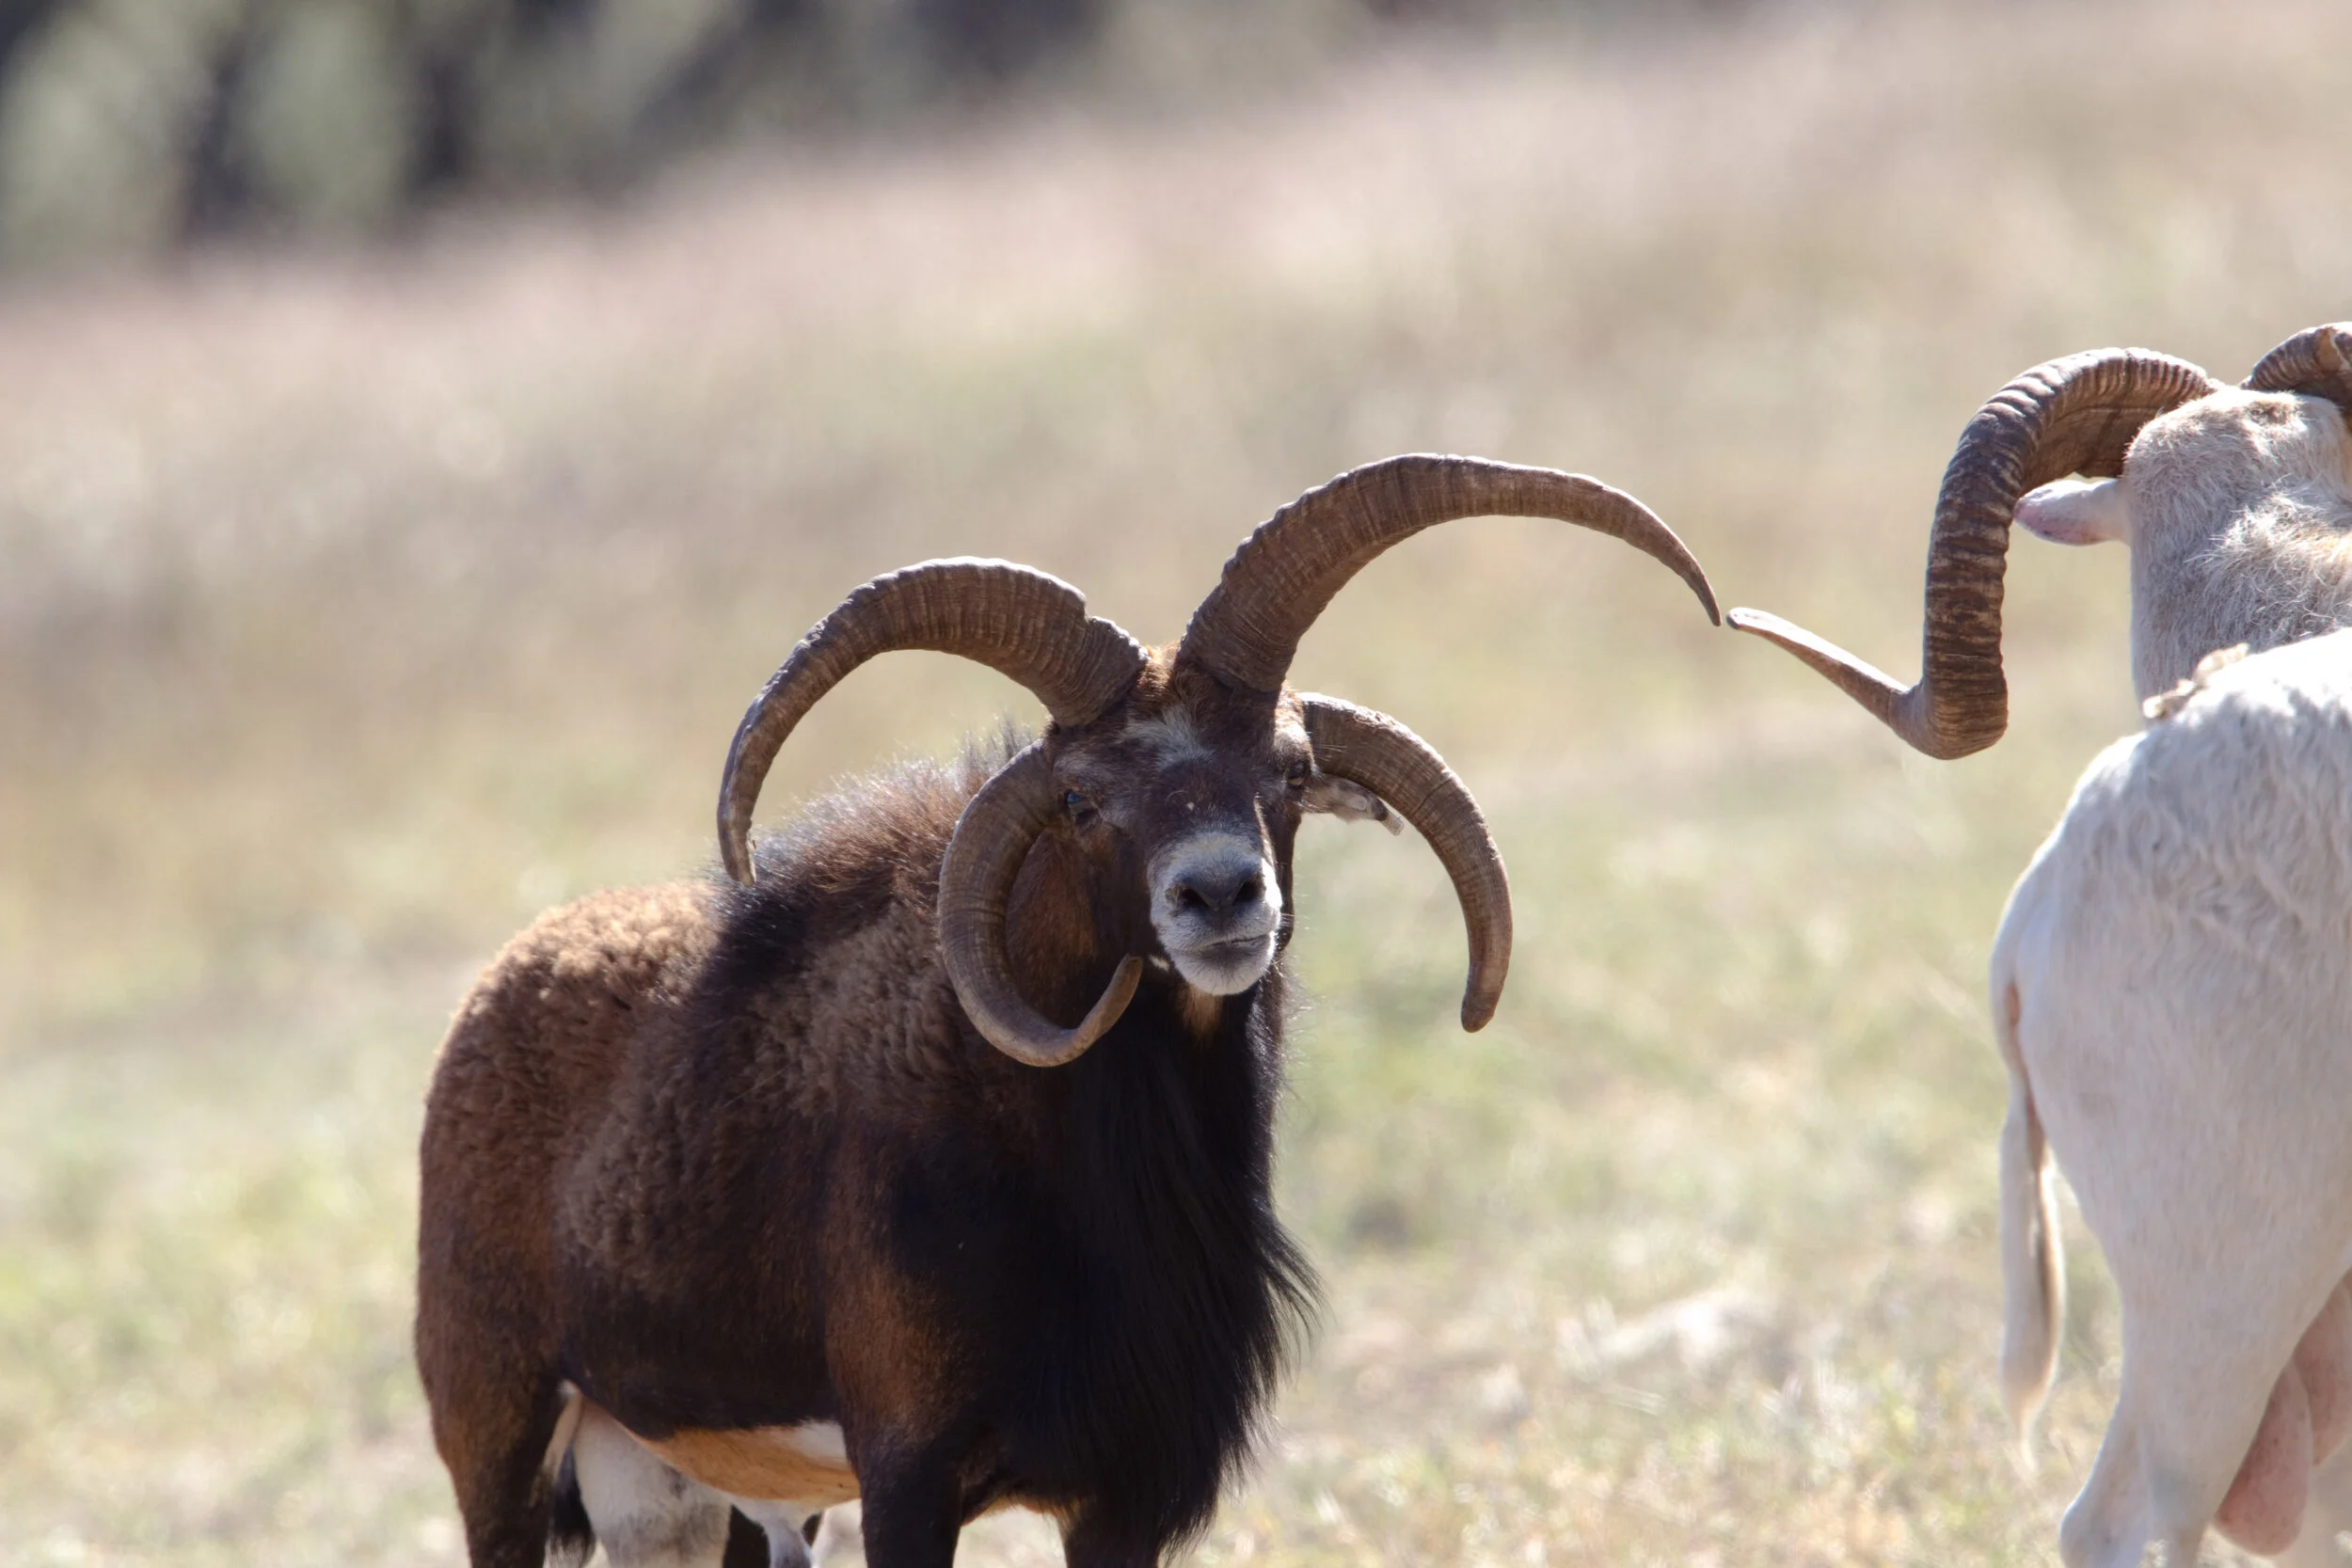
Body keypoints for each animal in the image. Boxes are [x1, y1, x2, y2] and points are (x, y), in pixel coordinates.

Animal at [414, 454, 1721, 1568]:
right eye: (1085, 799)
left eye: (1290, 768)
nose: (1219, 894)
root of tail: (499, 992)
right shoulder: (908, 1475)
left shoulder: (1117, 1497)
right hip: (502, 1440)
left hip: (693, 1496)